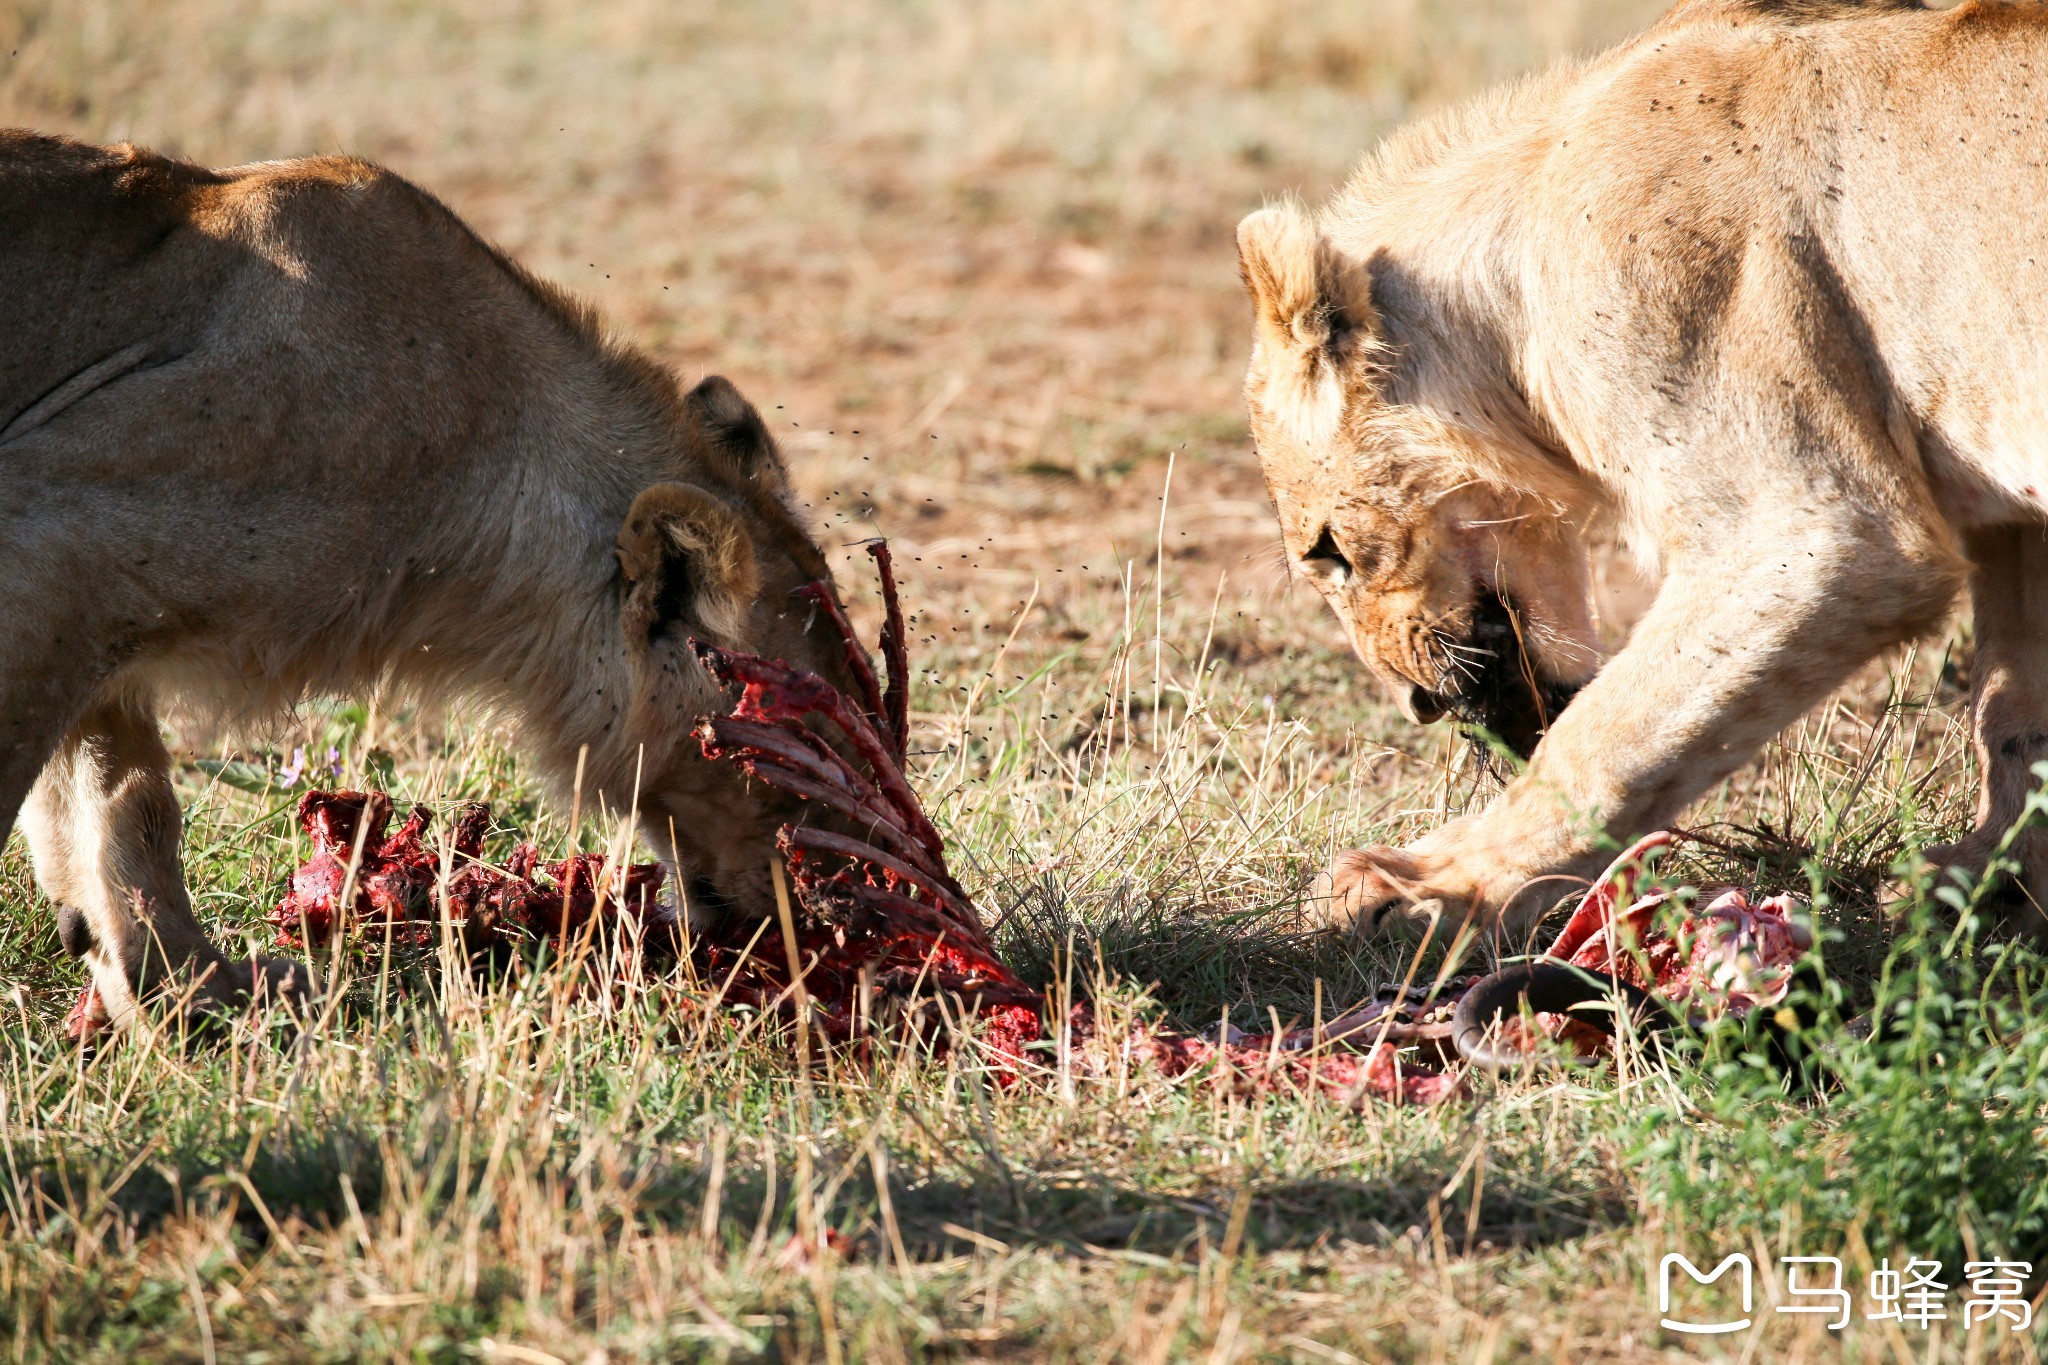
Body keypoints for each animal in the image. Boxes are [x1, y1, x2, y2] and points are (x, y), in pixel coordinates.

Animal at [0, 133, 864, 1031]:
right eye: (812, 748)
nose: (837, 919)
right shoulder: (54, 523)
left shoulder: (86, 591)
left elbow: (121, 807)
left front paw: (193, 996)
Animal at [1236, 0, 2048, 941]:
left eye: (1328, 551)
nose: (1418, 705)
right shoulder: (2013, 520)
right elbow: (2015, 708)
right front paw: (1987, 885)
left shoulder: (1818, 531)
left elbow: (1605, 735)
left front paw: (1427, 890)